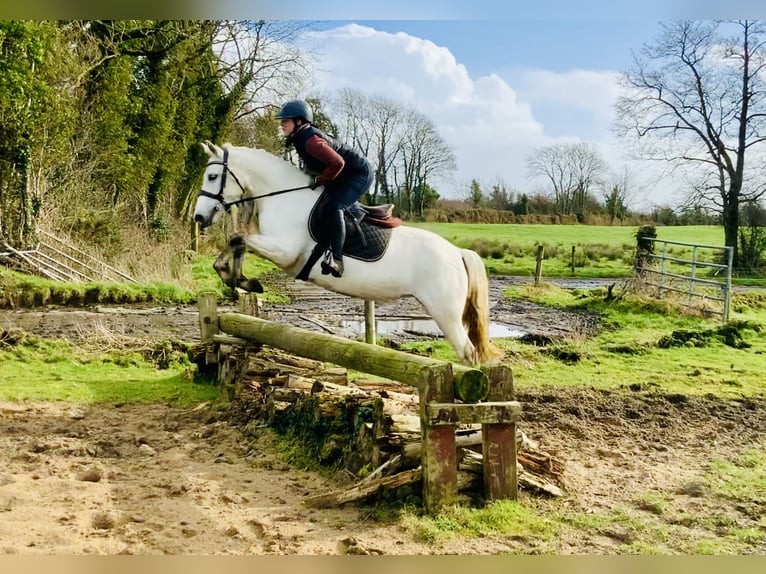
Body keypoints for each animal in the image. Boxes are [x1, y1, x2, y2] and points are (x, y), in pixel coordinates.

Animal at [194, 144, 504, 368]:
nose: (198, 217)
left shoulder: (285, 252)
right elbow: (236, 243)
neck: (282, 196)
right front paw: (237, 278)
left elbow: (238, 239)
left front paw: (239, 278)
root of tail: (458, 253)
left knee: (468, 353)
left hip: (445, 312)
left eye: (212, 176)